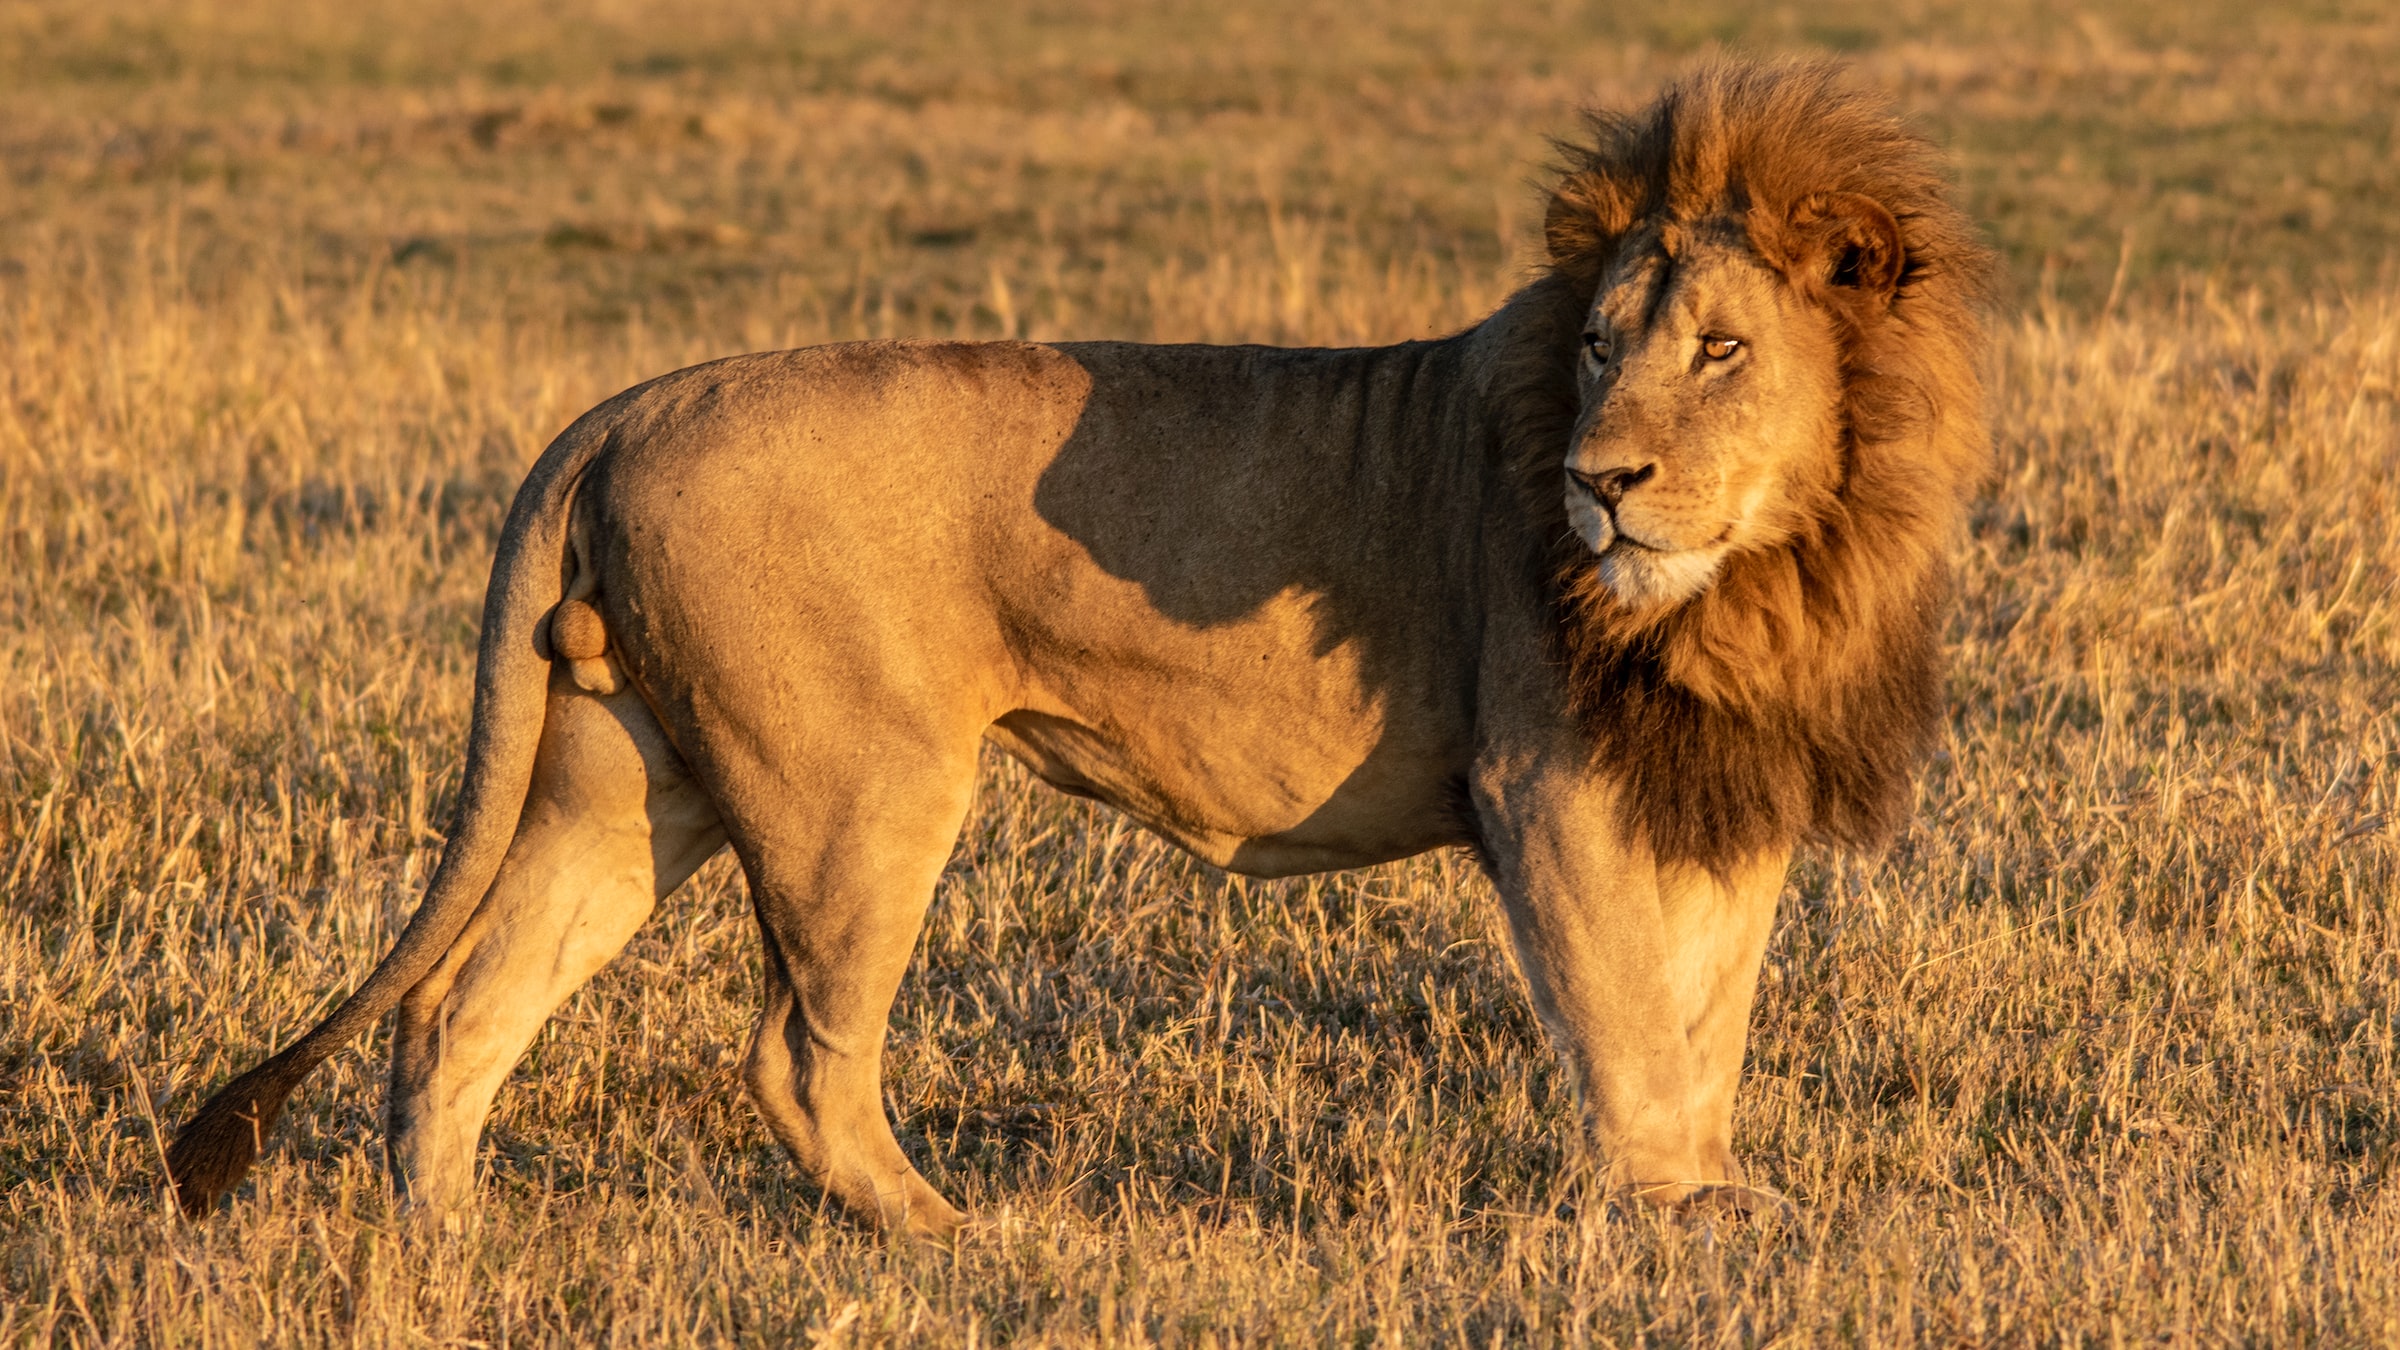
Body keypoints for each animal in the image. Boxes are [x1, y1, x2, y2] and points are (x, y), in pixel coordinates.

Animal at [164, 57, 1987, 1225]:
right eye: (1601, 348)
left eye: (1721, 347)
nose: (1598, 484)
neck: (1783, 564)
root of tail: (631, 401)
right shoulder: (1548, 788)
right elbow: (1624, 1017)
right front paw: (1670, 1215)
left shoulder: (1725, 787)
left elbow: (1707, 1016)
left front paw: (1711, 1194)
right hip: (858, 791)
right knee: (794, 1059)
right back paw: (951, 1243)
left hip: (631, 775)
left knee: (456, 1012)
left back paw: (444, 1252)